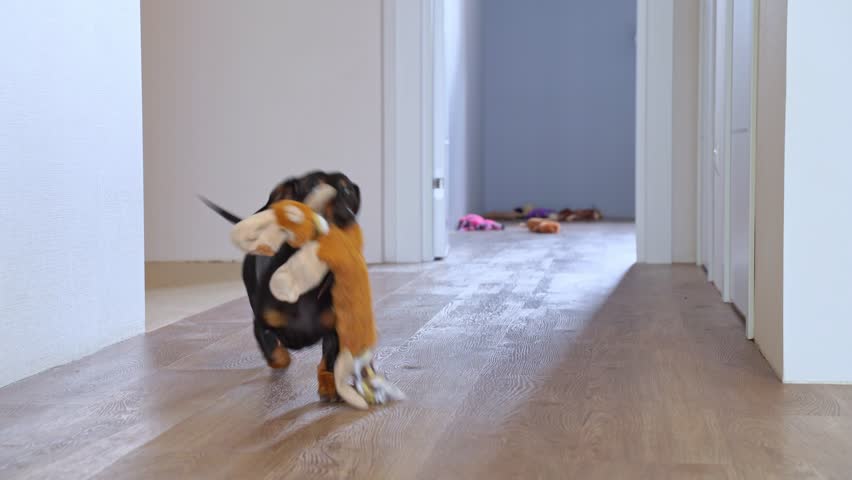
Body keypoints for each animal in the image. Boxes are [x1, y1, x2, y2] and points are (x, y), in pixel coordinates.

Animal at [199, 171, 360, 400]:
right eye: (314, 186)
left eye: (346, 190)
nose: (347, 217)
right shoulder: (261, 324)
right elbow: (277, 356)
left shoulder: (334, 329)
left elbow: (329, 359)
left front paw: (329, 384)